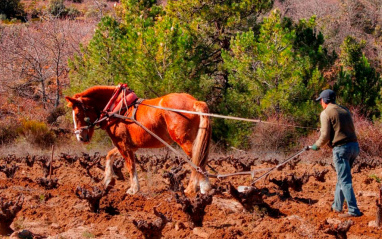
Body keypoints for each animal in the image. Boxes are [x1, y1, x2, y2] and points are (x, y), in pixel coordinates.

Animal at [63, 84, 212, 194]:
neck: (117, 108)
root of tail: (194, 102)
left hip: (185, 141)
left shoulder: (122, 145)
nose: (80, 137)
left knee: (197, 161)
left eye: (77, 114)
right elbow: (110, 156)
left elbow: (131, 166)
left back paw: (196, 188)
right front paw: (107, 181)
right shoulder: (128, 146)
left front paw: (133, 189)